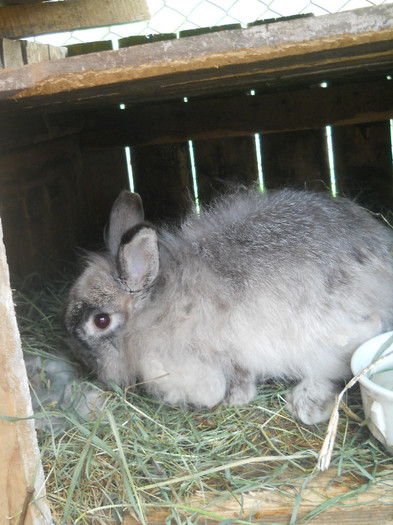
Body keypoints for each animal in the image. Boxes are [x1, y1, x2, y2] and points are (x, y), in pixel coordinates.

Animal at [63, 186, 393, 424]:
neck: (153, 308)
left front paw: (227, 399)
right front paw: (239, 398)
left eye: (101, 321)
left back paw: (306, 403)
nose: (80, 358)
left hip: (325, 339)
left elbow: (212, 388)